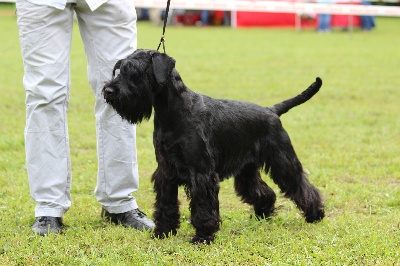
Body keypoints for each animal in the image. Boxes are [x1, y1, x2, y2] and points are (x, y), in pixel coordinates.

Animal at [103, 49, 324, 243]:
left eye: (135, 71)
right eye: (119, 69)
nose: (108, 90)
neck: (172, 113)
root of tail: (272, 111)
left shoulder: (201, 174)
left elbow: (202, 208)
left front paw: (203, 237)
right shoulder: (166, 171)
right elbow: (166, 204)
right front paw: (163, 232)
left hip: (282, 161)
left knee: (301, 185)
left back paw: (315, 214)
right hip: (246, 171)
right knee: (263, 191)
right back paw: (262, 215)